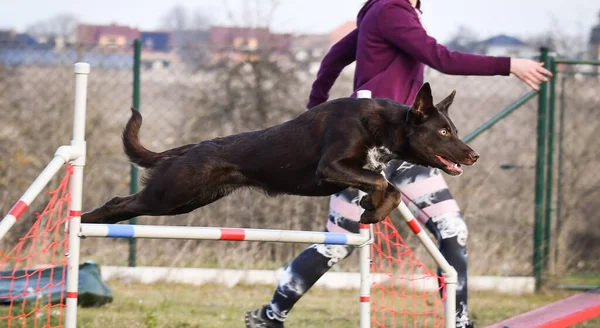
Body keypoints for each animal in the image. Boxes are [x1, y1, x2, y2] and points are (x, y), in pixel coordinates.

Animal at [82, 82, 480, 226]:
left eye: (455, 129)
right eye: (444, 132)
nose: (473, 155)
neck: (383, 125)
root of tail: (190, 148)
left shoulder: (356, 171)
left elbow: (387, 187)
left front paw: (371, 209)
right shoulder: (330, 167)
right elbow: (385, 184)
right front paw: (372, 211)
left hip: (186, 200)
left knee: (126, 207)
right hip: (170, 195)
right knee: (118, 202)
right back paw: (82, 221)